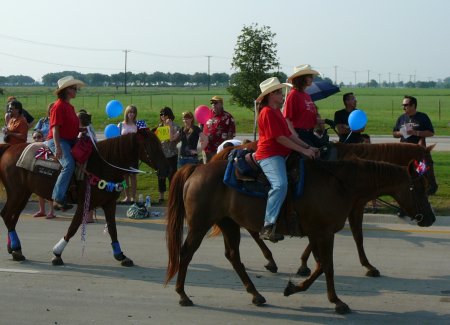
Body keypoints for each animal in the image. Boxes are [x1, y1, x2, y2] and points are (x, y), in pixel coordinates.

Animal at [0, 128, 169, 264]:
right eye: (151, 146)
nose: (165, 169)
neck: (102, 165)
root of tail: (10, 148)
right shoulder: (84, 204)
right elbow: (73, 228)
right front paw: (57, 253)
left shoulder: (109, 203)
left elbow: (112, 229)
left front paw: (120, 255)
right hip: (17, 193)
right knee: (7, 215)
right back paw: (16, 249)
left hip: (24, 193)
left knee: (12, 218)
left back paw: (14, 248)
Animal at [165, 158, 436, 312]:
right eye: (417, 188)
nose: (431, 219)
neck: (340, 184)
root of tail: (197, 168)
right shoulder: (324, 233)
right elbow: (327, 266)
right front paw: (337, 301)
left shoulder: (318, 233)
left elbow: (320, 265)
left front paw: (294, 287)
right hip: (200, 225)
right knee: (186, 253)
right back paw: (182, 295)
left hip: (229, 223)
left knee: (233, 256)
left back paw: (256, 294)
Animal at [213, 140, 438, 274]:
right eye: (429, 164)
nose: (434, 188)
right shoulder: (350, 209)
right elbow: (356, 236)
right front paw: (367, 266)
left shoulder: (347, 209)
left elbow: (355, 236)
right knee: (254, 230)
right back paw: (270, 258)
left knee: (251, 229)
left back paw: (270, 259)